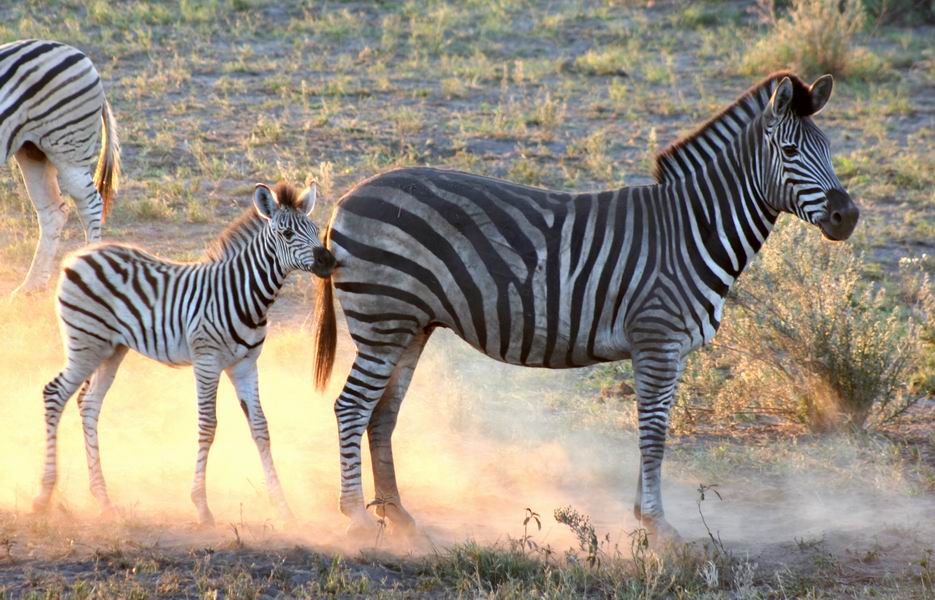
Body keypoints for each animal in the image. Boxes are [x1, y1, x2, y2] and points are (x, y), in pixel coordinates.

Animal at [0, 38, 119, 296]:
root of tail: (76, 52)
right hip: (33, 151)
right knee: (53, 212)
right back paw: (31, 286)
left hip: (67, 148)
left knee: (91, 205)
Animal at [36, 182, 336, 524]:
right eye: (286, 233)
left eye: (315, 229)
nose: (328, 261)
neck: (245, 295)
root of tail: (79, 256)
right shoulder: (206, 360)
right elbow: (207, 425)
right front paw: (202, 507)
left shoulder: (245, 365)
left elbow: (260, 427)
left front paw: (283, 507)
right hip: (85, 343)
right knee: (54, 393)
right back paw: (44, 495)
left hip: (111, 348)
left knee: (88, 403)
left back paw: (103, 499)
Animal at [314, 71, 864, 540]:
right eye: (790, 150)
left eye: (829, 150)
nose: (848, 216)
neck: (690, 229)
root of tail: (345, 200)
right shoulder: (657, 339)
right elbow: (654, 433)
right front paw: (659, 529)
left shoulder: (669, 349)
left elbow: (655, 430)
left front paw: (645, 518)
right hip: (383, 320)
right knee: (351, 407)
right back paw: (355, 519)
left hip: (411, 325)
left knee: (382, 414)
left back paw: (399, 517)